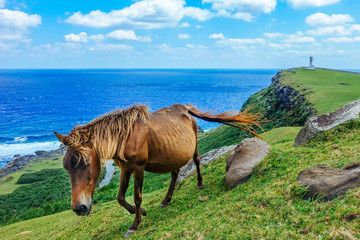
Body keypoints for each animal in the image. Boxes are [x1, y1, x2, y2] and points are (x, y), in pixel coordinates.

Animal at [54, 104, 264, 237]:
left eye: (86, 163)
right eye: (66, 166)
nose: (79, 208)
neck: (125, 136)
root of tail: (185, 108)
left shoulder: (138, 168)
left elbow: (137, 196)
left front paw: (135, 224)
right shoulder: (125, 169)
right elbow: (120, 198)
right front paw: (142, 212)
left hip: (194, 145)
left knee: (196, 161)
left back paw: (199, 184)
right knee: (174, 174)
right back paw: (166, 200)